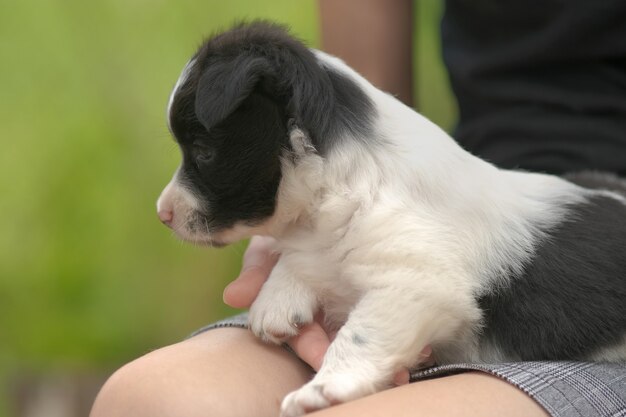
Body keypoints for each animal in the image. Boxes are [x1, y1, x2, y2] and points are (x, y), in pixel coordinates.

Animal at [157, 22, 624, 416]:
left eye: (203, 152)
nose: (162, 214)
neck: (350, 181)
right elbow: (305, 257)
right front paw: (278, 299)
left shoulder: (416, 284)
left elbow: (361, 335)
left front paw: (323, 389)